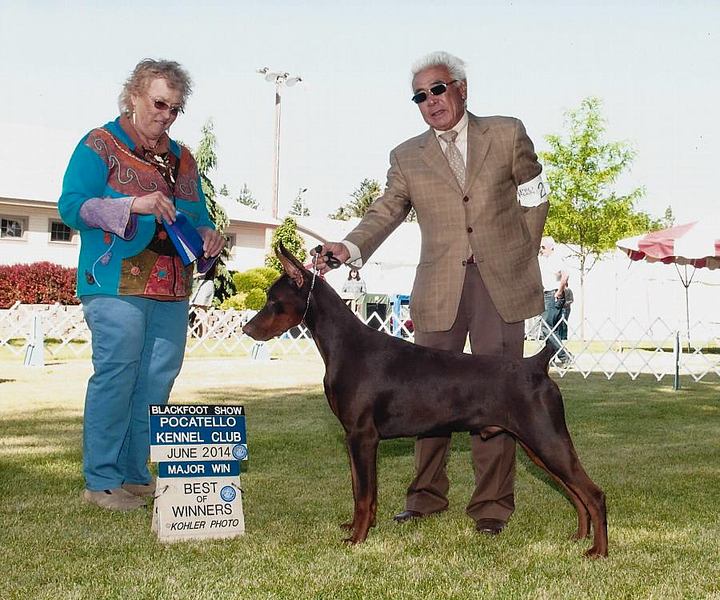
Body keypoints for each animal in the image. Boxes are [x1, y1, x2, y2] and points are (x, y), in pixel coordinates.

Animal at [243, 244, 608, 556]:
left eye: (273, 300)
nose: (247, 330)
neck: (344, 346)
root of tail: (536, 365)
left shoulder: (363, 437)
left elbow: (364, 495)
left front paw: (357, 539)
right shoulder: (351, 439)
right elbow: (359, 490)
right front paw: (357, 527)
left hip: (547, 439)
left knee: (593, 493)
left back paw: (598, 551)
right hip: (537, 446)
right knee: (575, 493)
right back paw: (579, 537)